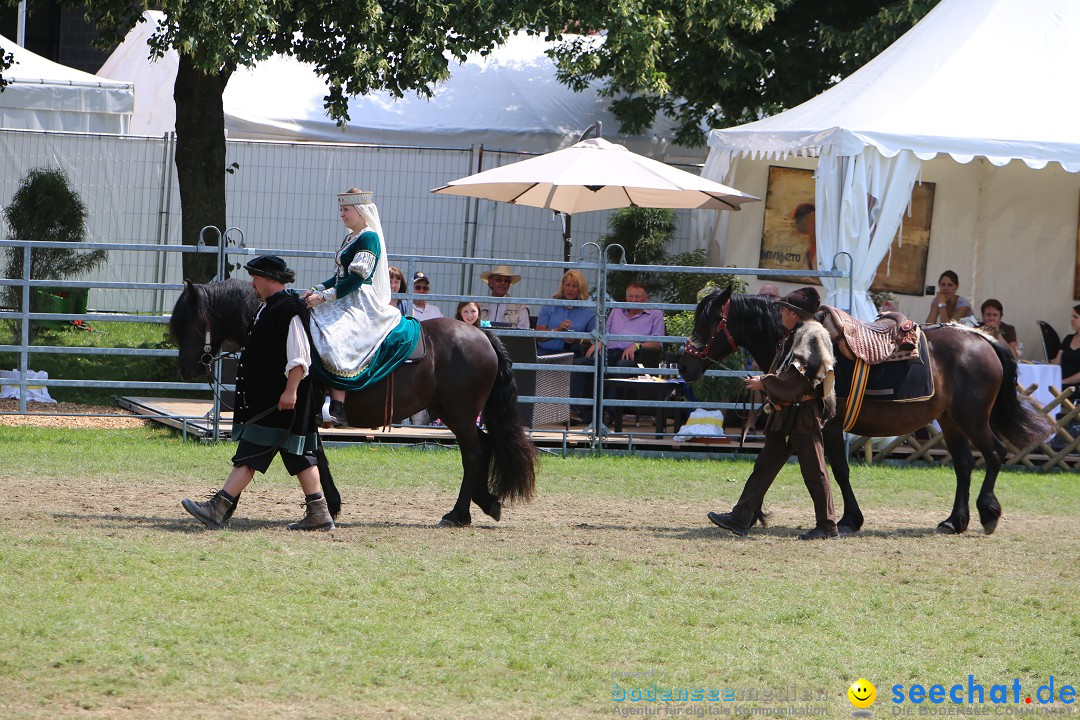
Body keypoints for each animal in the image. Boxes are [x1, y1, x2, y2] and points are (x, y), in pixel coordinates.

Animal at [168, 278, 535, 526]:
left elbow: (272, 454)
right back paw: (485, 502)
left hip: (459, 413)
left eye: (192, 323)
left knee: (473, 453)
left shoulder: (291, 413)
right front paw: (329, 505)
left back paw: (458, 513)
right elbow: (315, 457)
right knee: (484, 446)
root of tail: (480, 333)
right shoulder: (306, 418)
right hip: (451, 411)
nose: (184, 368)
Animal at [678, 289, 1049, 535]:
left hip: (972, 419)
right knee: (964, 465)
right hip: (951, 421)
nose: (684, 366)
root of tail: (982, 339)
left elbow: (839, 470)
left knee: (995, 454)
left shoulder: (829, 425)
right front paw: (748, 515)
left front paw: (848, 520)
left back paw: (987, 513)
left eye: (710, 322)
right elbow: (770, 466)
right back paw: (954, 521)